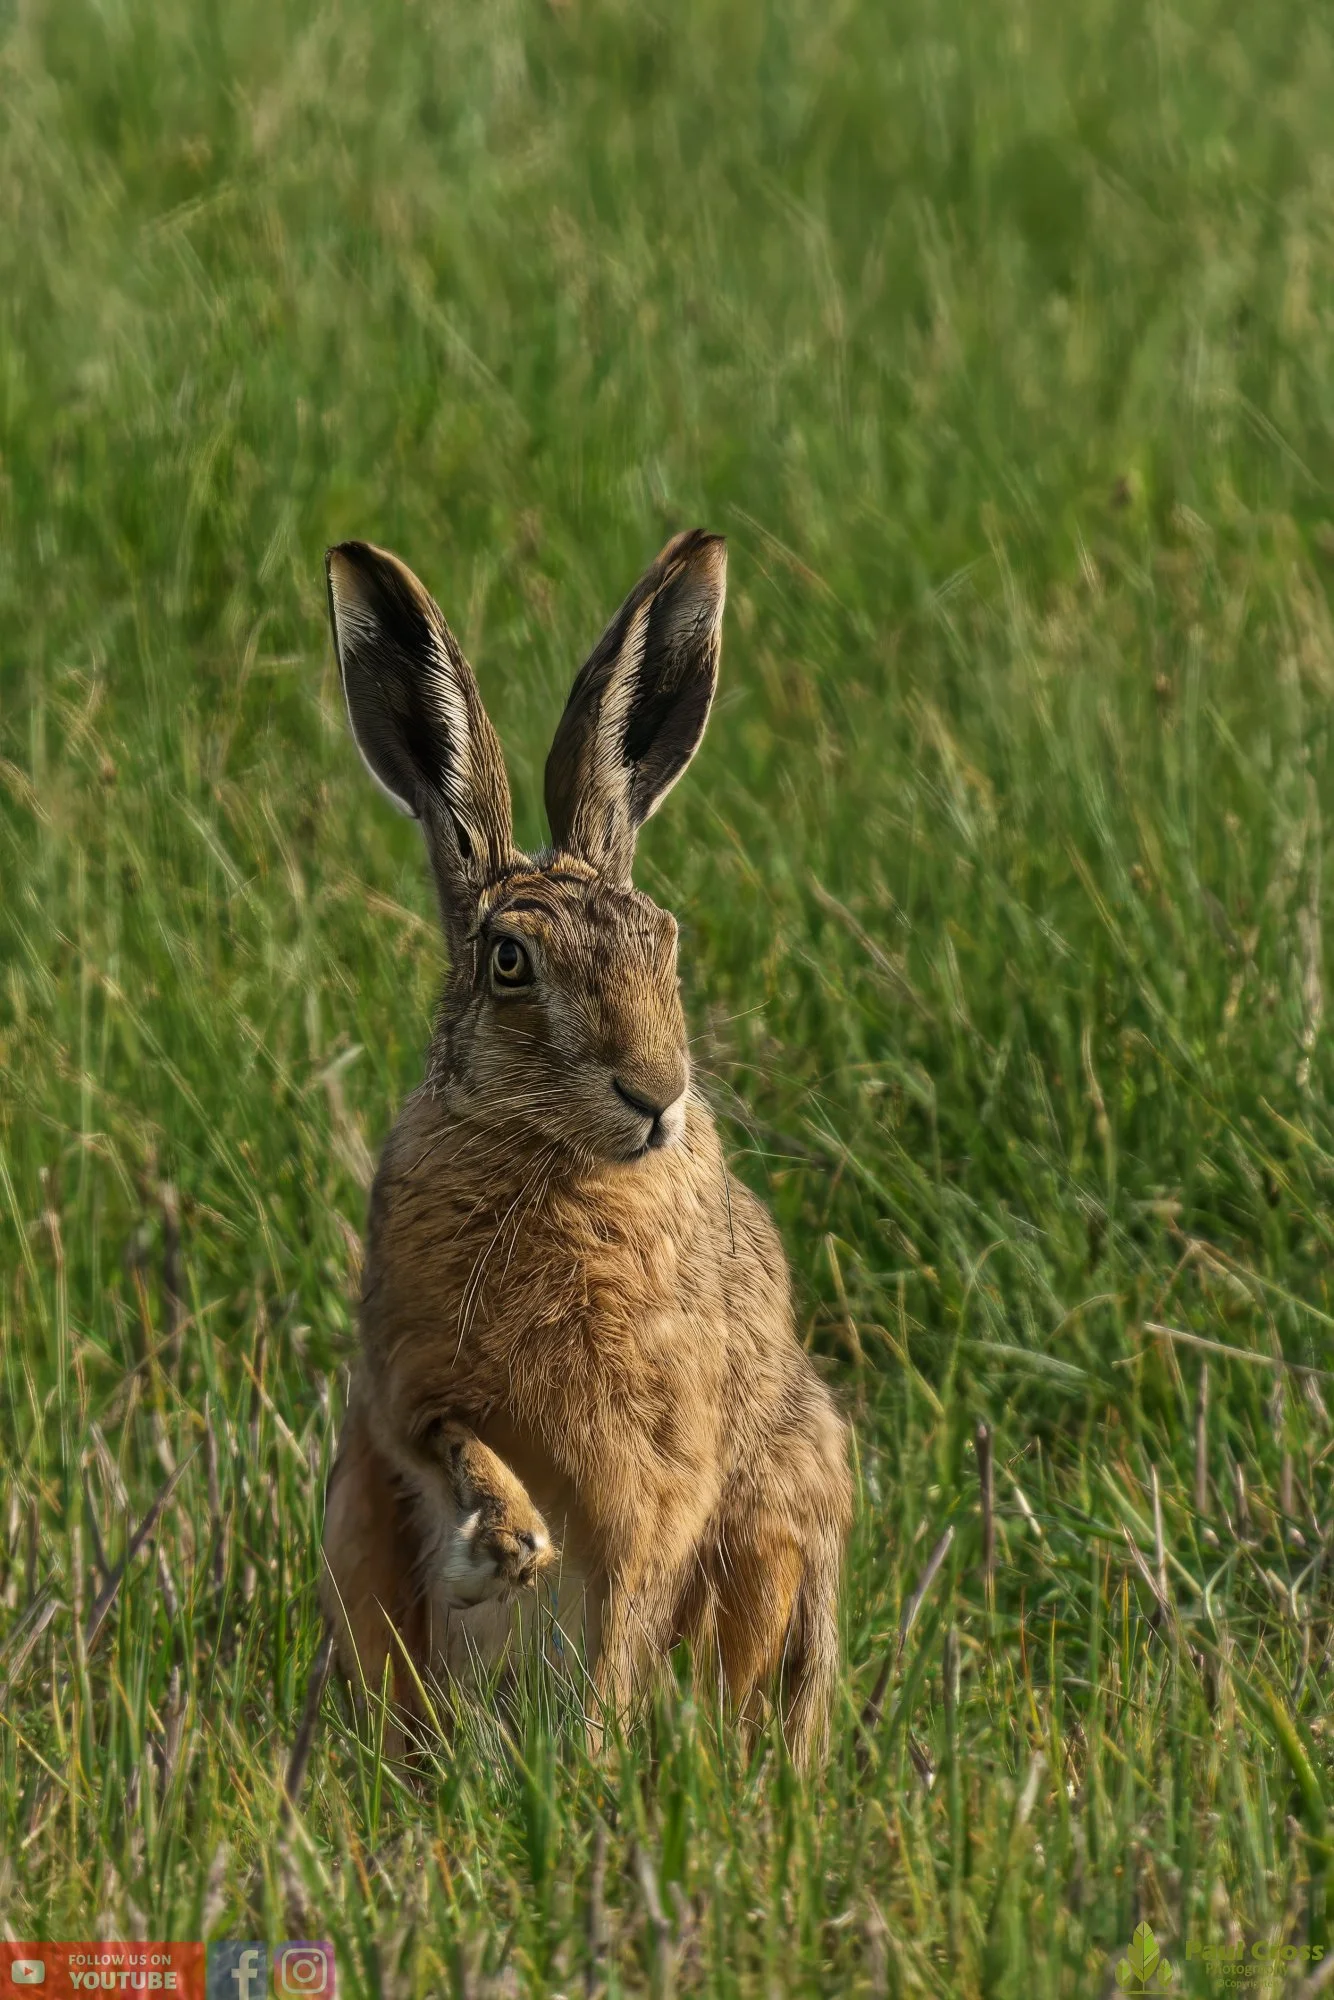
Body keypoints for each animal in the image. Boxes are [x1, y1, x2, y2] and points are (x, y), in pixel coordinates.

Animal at [318, 527, 852, 1765]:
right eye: (509, 961)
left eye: (665, 940)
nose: (656, 1092)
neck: (550, 1161)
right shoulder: (411, 1386)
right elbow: (457, 1445)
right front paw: (499, 1547)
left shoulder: (657, 1482)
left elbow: (622, 1615)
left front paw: (595, 1756)